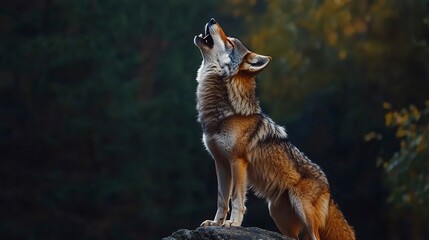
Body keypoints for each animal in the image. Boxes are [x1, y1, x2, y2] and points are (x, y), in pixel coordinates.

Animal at [194, 18, 354, 240]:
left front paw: (233, 223)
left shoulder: (238, 162)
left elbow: (236, 198)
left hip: (299, 204)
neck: (223, 113)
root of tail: (329, 190)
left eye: (231, 43)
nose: (212, 20)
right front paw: (216, 223)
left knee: (315, 236)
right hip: (276, 213)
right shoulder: (221, 163)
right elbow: (221, 199)